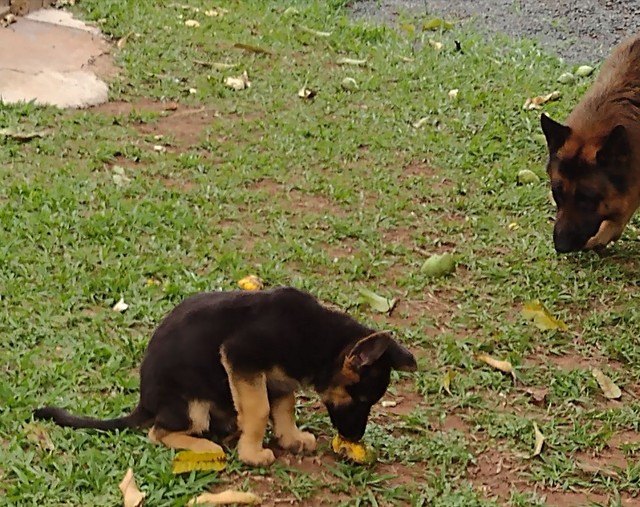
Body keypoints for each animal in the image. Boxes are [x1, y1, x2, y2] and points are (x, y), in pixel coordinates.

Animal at [35, 288, 418, 466]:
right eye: (361, 400)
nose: (355, 438)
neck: (318, 340)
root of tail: (146, 404)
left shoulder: (276, 380)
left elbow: (283, 408)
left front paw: (290, 438)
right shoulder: (241, 357)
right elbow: (260, 411)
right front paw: (253, 453)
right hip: (191, 405)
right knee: (159, 433)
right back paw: (205, 445)